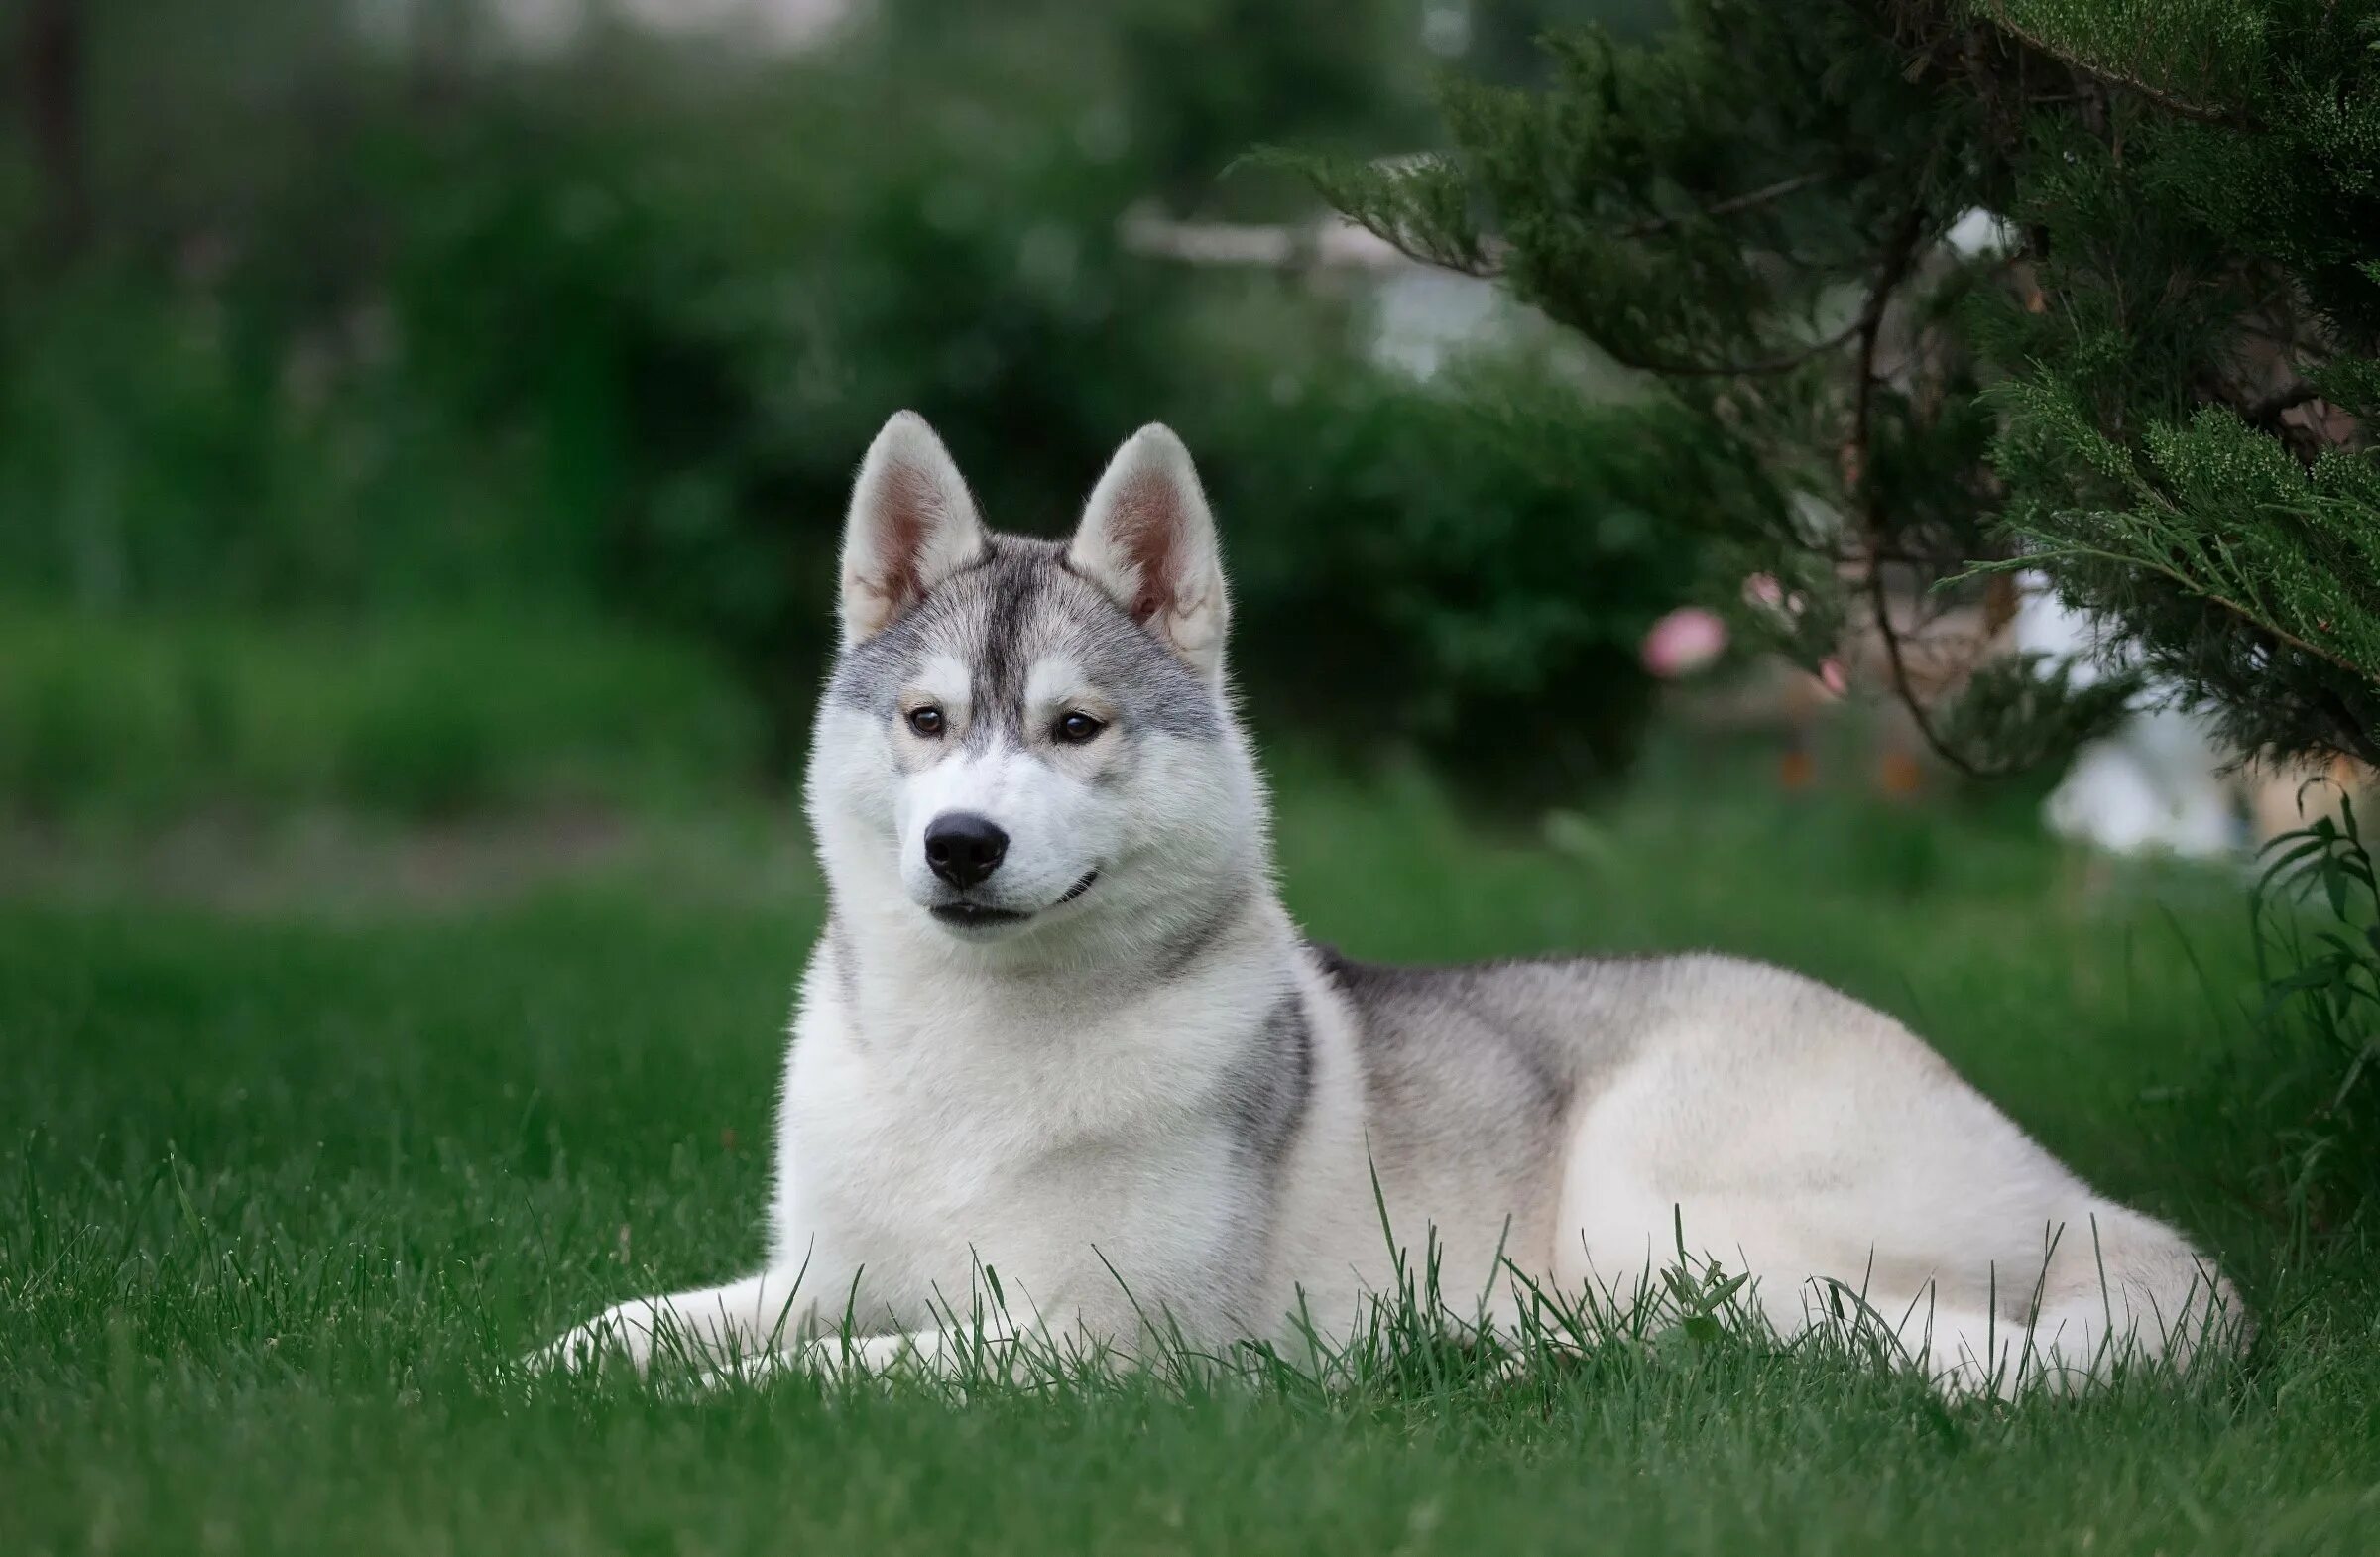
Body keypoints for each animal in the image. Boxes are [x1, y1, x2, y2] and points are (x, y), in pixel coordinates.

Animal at [536, 409, 2227, 1399]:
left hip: (1666, 1194)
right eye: (931, 721)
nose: (960, 843)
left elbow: (849, 1373)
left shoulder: (1111, 1339)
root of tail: (2072, 1182)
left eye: (1076, 727)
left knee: (1889, 1337)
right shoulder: (823, 1274)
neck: (980, 1065)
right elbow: (656, 1323)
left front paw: (706, 1409)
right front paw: (554, 1365)